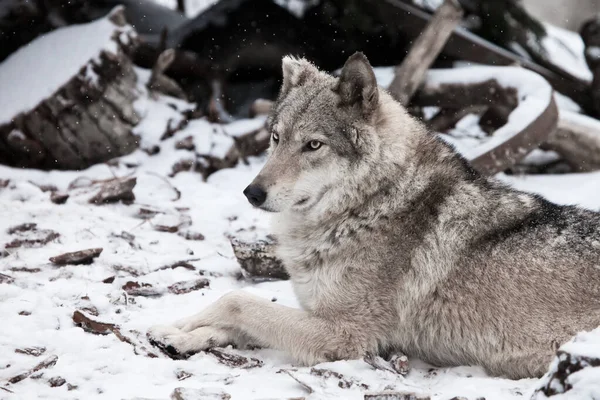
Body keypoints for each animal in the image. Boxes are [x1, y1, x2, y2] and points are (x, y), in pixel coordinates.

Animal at [148, 52, 600, 378]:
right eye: (276, 138)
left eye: (313, 145)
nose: (252, 193)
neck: (369, 206)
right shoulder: (317, 313)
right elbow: (233, 316)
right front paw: (178, 331)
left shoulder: (346, 335)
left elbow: (238, 301)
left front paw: (185, 328)